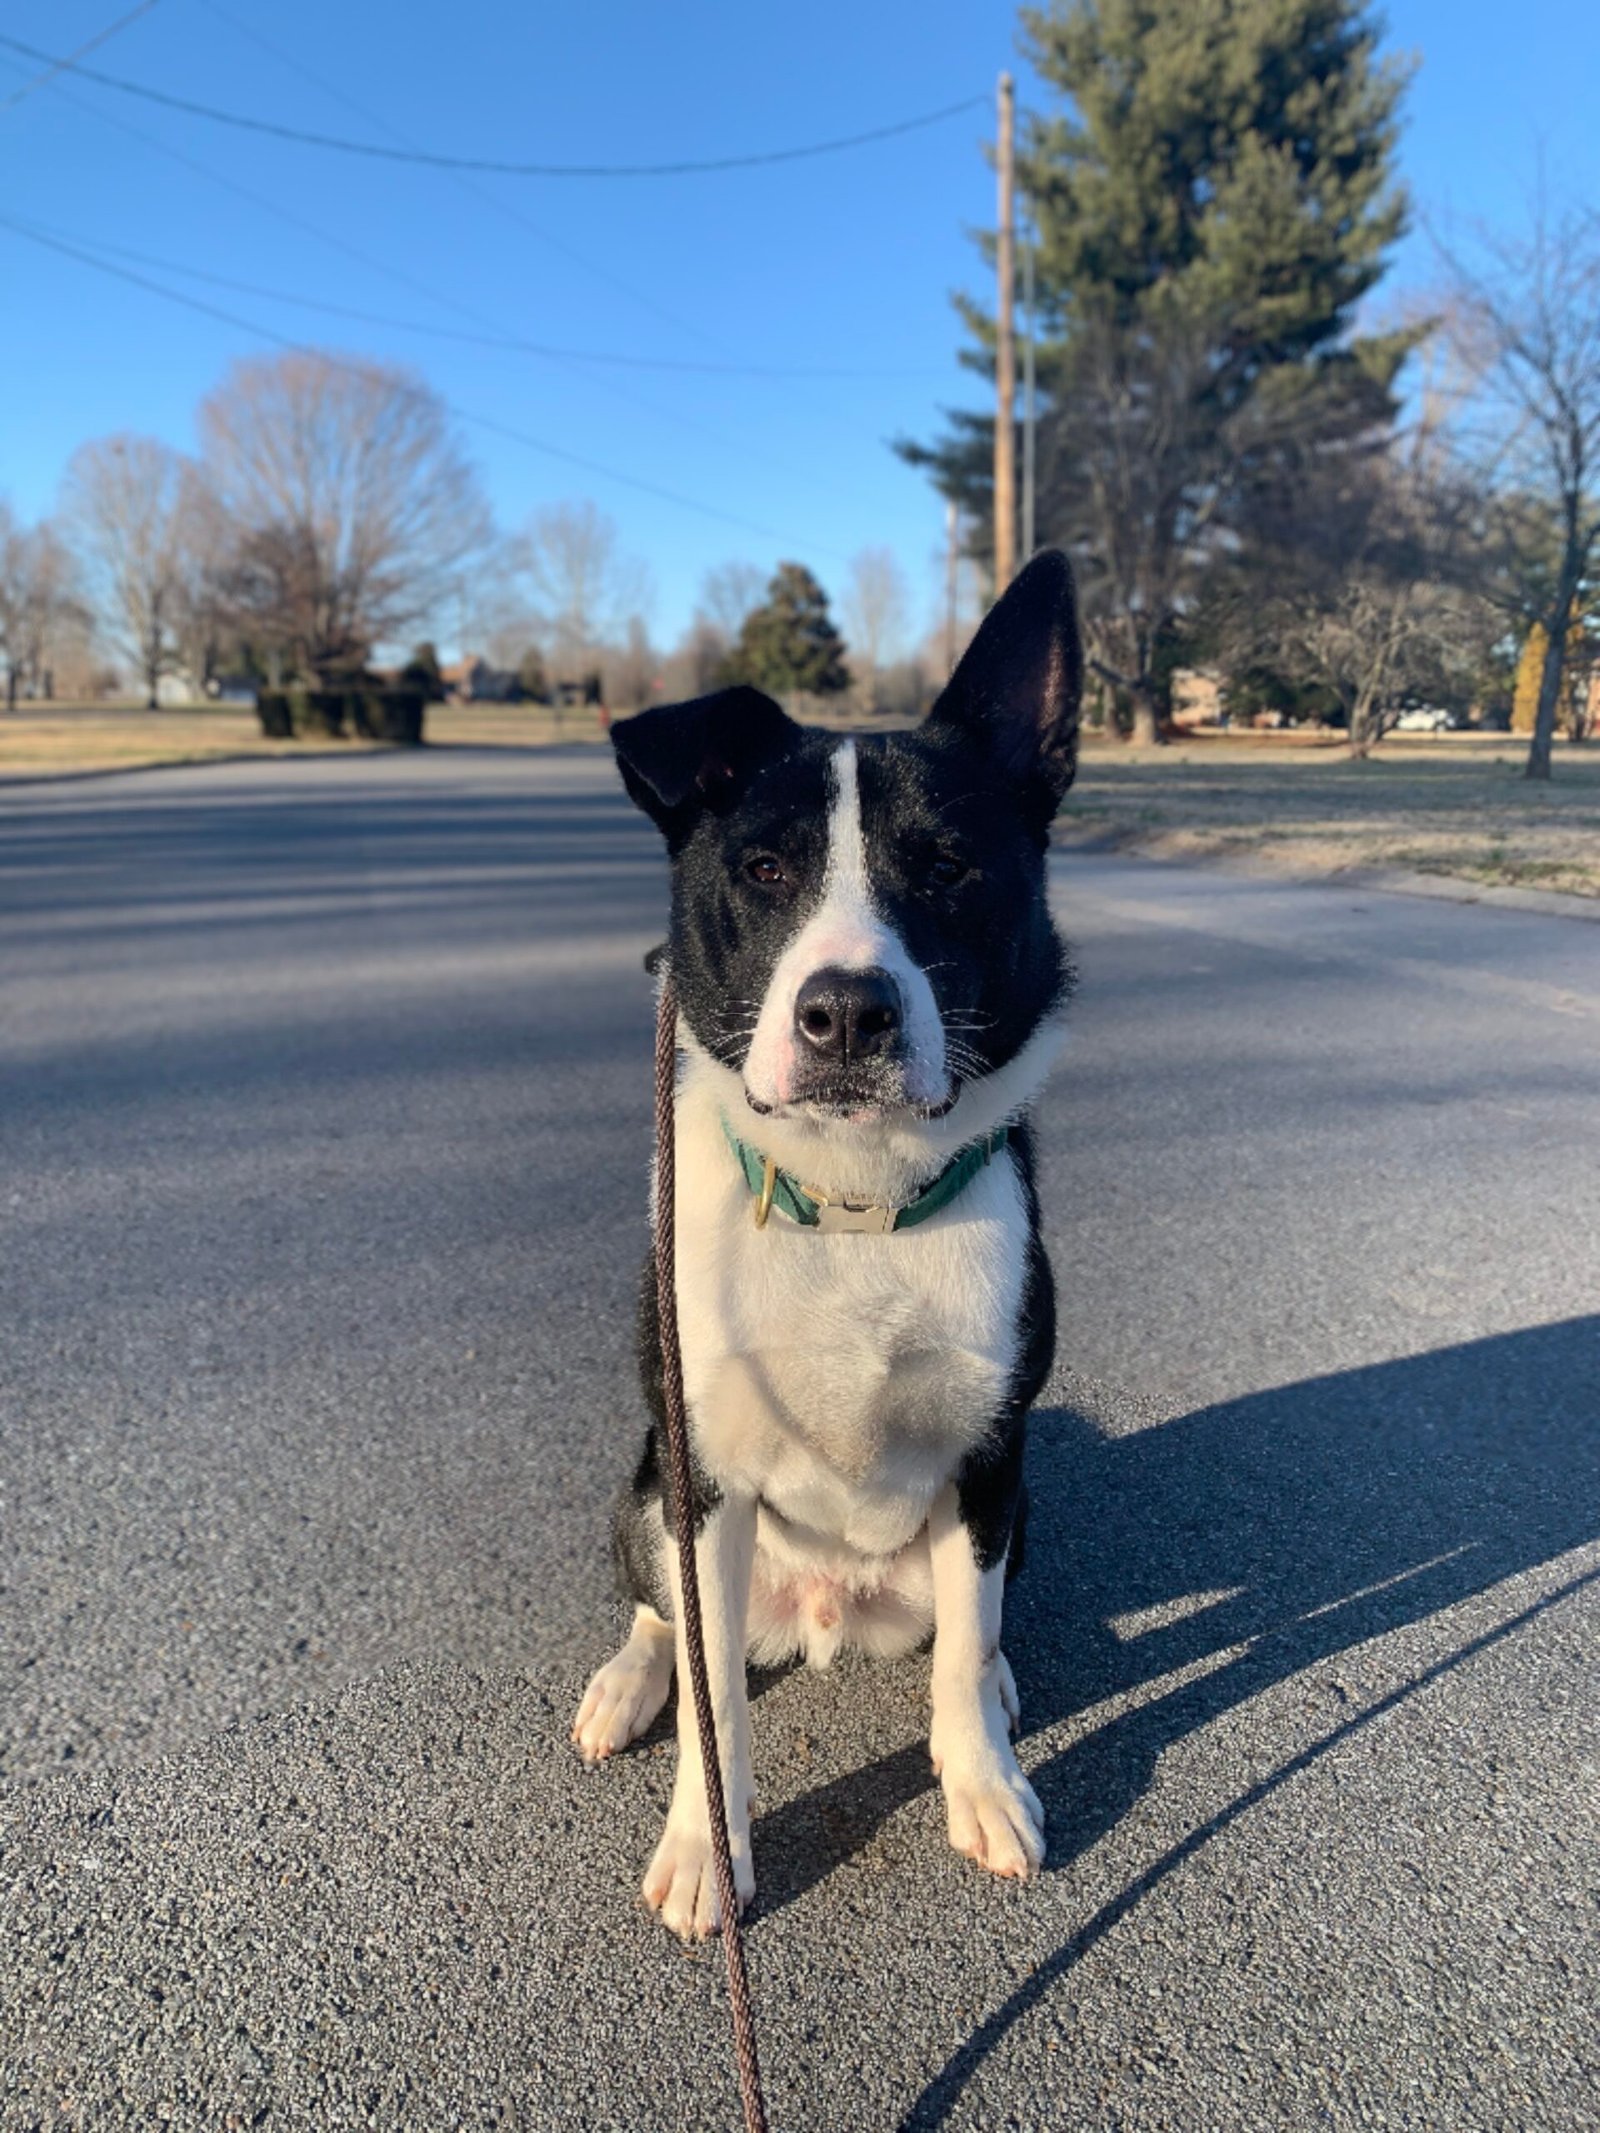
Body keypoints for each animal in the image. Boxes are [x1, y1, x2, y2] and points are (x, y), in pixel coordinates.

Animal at [571, 550, 1081, 1939]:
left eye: (950, 866)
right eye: (761, 871)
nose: (845, 1013)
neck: (856, 1208)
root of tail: (821, 1615)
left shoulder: (990, 1458)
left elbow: (965, 1644)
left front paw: (981, 1781)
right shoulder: (705, 1479)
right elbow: (716, 1714)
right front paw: (707, 1846)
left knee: (969, 1625)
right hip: (651, 1489)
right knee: (666, 1615)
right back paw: (627, 1682)